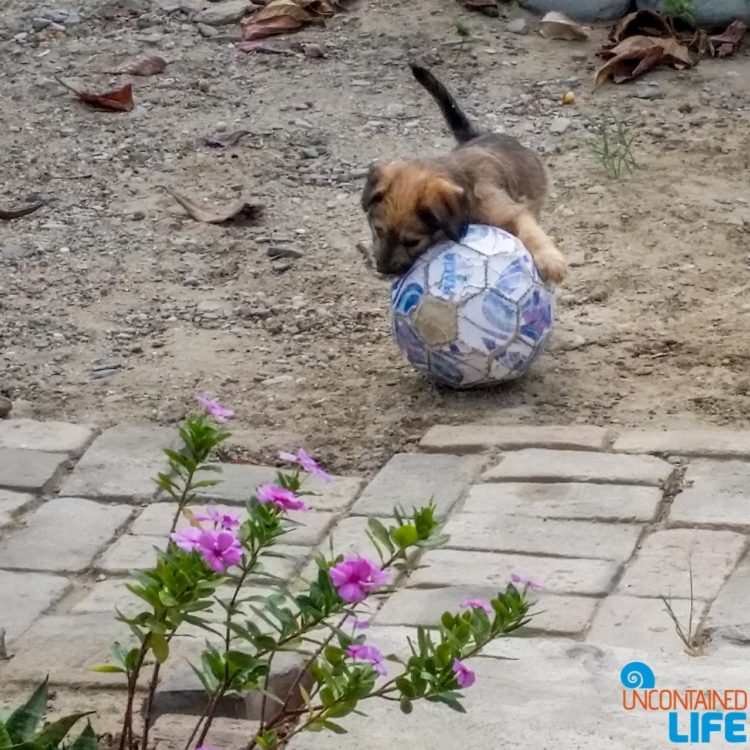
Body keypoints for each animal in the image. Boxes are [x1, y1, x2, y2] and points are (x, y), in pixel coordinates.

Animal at [362, 61, 568, 284]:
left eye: (412, 242)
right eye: (377, 230)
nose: (383, 270)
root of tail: (477, 134)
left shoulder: (510, 211)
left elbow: (530, 232)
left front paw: (550, 260)